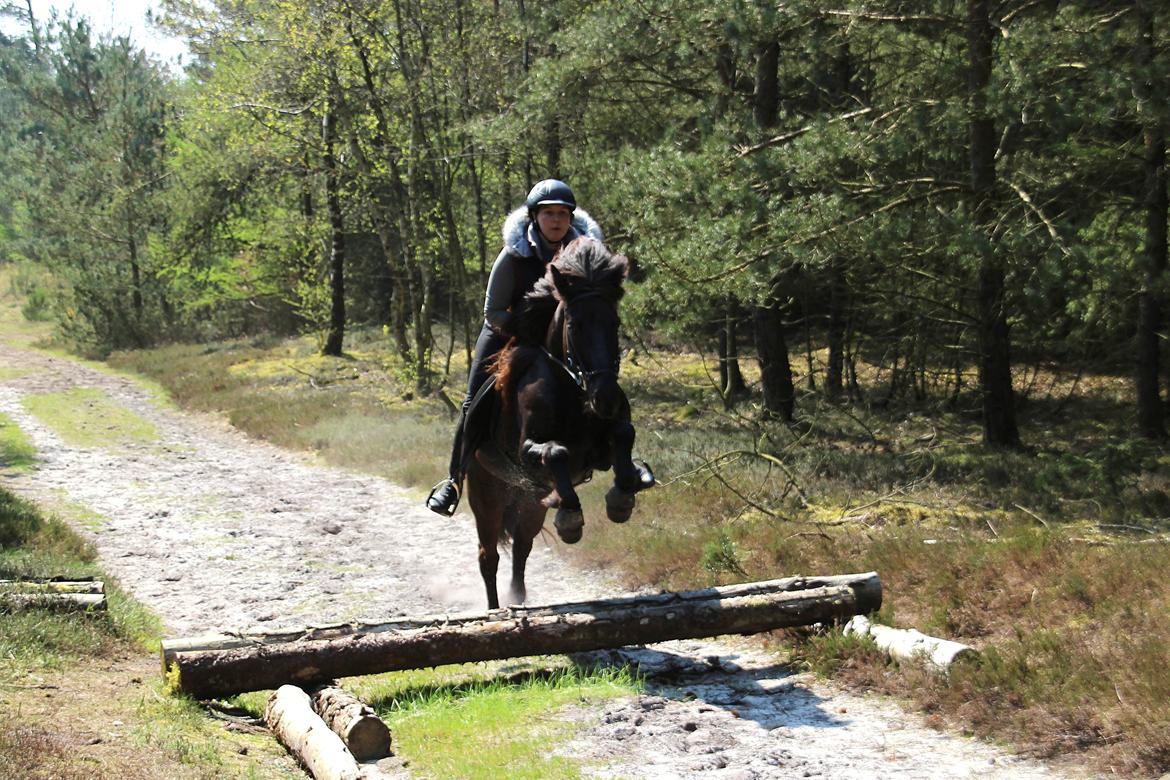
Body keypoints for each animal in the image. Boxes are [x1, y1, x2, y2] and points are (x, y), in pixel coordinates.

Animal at [463, 238, 650, 608]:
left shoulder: (602, 445)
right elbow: (556, 452)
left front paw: (621, 499)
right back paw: (493, 610)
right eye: (575, 326)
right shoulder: (526, 451)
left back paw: (518, 598)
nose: (606, 398)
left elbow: (624, 433)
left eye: (615, 324)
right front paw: (570, 518)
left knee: (522, 548)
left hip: (529, 503)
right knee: (488, 557)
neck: (573, 389)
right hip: (486, 496)